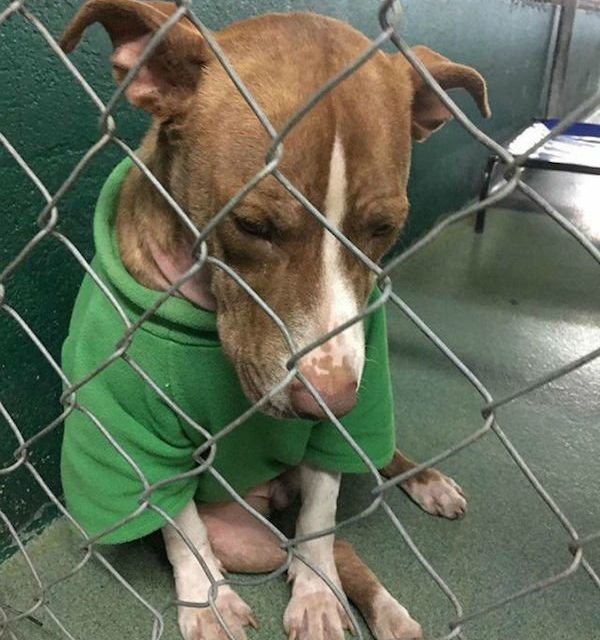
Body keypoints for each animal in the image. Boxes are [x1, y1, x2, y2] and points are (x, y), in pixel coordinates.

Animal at [58, 2, 490, 636]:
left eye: (383, 229)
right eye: (253, 226)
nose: (330, 402)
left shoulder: (345, 418)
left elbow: (319, 521)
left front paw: (315, 595)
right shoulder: (132, 433)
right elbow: (183, 531)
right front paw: (207, 604)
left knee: (350, 520)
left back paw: (409, 530)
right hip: (247, 537)